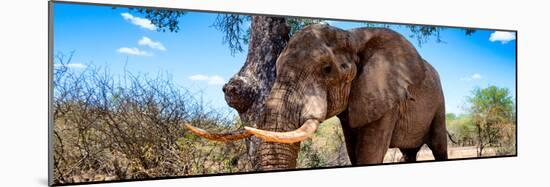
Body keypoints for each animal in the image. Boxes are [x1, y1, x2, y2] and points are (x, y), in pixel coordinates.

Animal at [185, 23, 448, 171]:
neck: (351, 34)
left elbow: (369, 153)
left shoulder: (385, 97)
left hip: (439, 102)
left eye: (327, 69)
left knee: (438, 145)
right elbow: (354, 152)